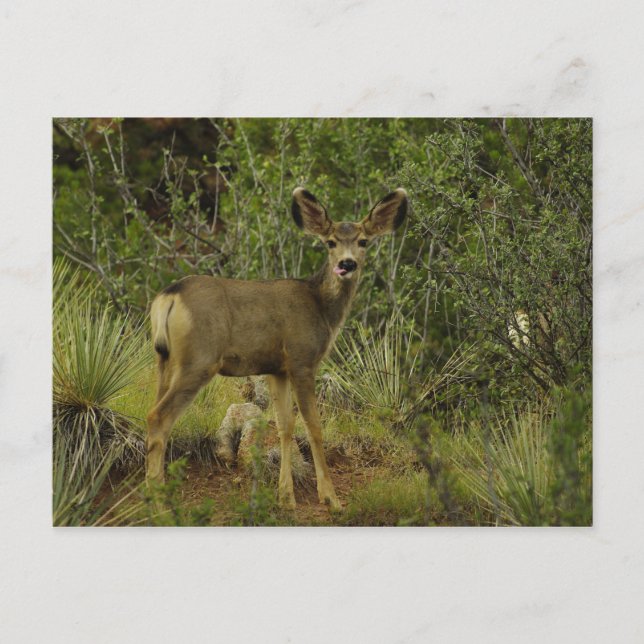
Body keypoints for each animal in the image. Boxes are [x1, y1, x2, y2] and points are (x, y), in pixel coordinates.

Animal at [146, 187, 408, 510]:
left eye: (363, 241)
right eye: (331, 242)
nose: (347, 264)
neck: (321, 309)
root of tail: (168, 296)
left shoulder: (276, 368)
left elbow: (284, 425)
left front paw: (286, 497)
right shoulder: (301, 359)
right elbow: (313, 426)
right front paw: (330, 497)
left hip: (165, 359)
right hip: (199, 359)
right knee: (158, 417)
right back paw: (159, 504)